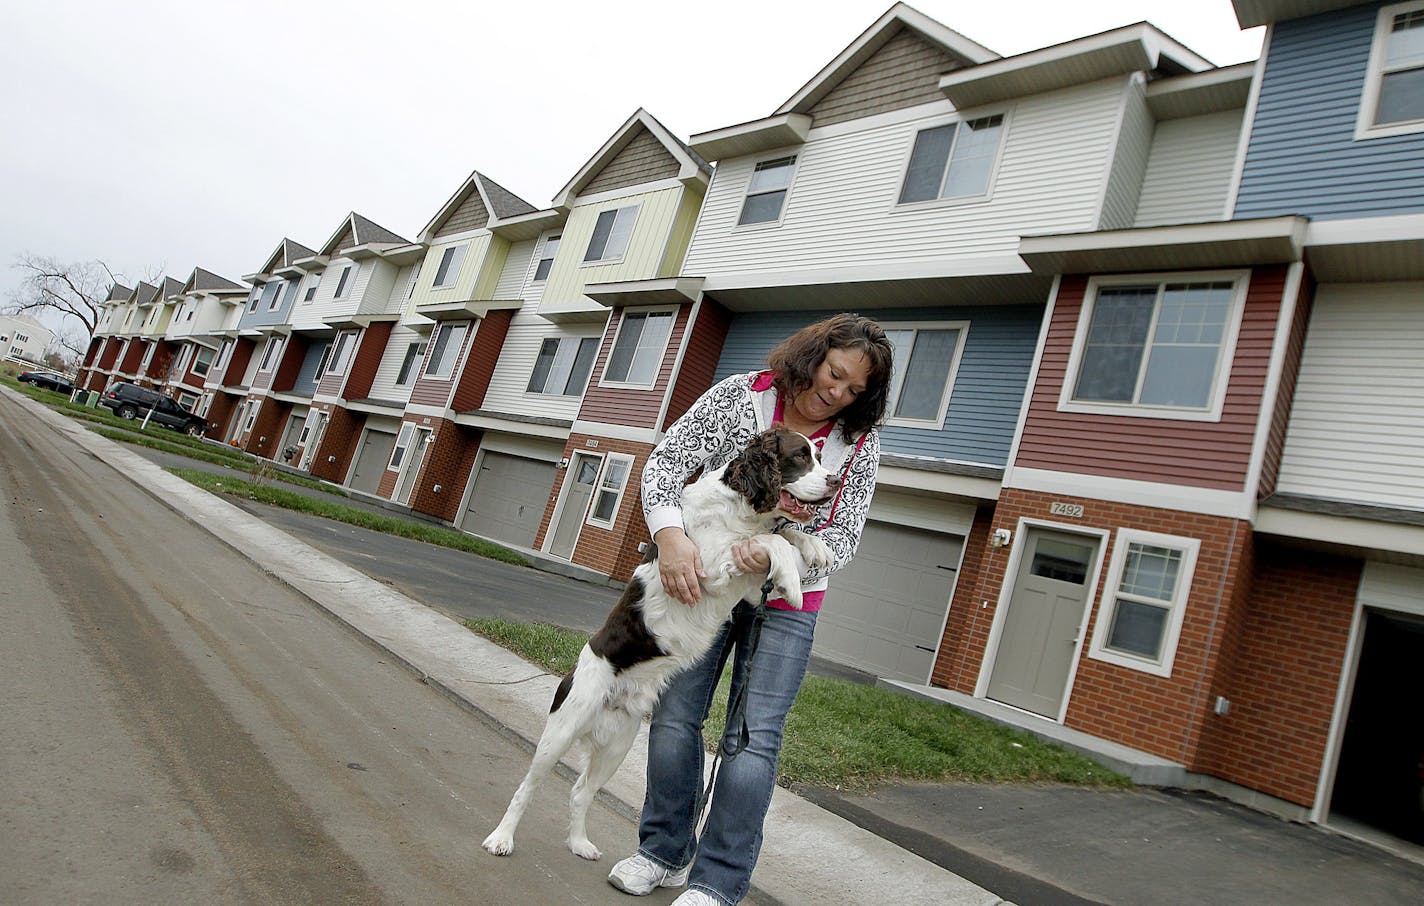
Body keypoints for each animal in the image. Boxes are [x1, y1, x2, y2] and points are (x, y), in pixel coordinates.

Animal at [481, 427, 831, 860]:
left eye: (820, 455)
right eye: (800, 456)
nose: (836, 481)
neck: (739, 509)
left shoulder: (747, 588)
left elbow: (781, 535)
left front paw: (815, 549)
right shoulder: (704, 566)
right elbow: (771, 540)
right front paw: (795, 584)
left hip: (619, 742)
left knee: (582, 791)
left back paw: (580, 843)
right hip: (563, 728)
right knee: (528, 786)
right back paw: (502, 838)